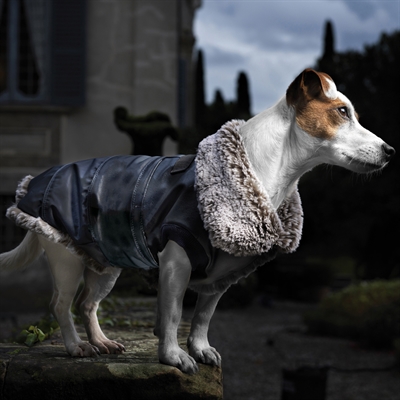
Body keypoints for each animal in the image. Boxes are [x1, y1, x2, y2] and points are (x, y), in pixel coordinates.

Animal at [0, 69, 394, 376]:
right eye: (342, 112)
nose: (390, 151)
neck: (260, 171)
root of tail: (34, 184)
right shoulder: (177, 259)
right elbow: (174, 313)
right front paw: (173, 356)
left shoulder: (221, 276)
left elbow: (203, 315)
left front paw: (200, 349)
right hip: (65, 257)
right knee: (60, 305)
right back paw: (75, 346)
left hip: (106, 263)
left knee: (87, 304)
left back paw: (100, 341)